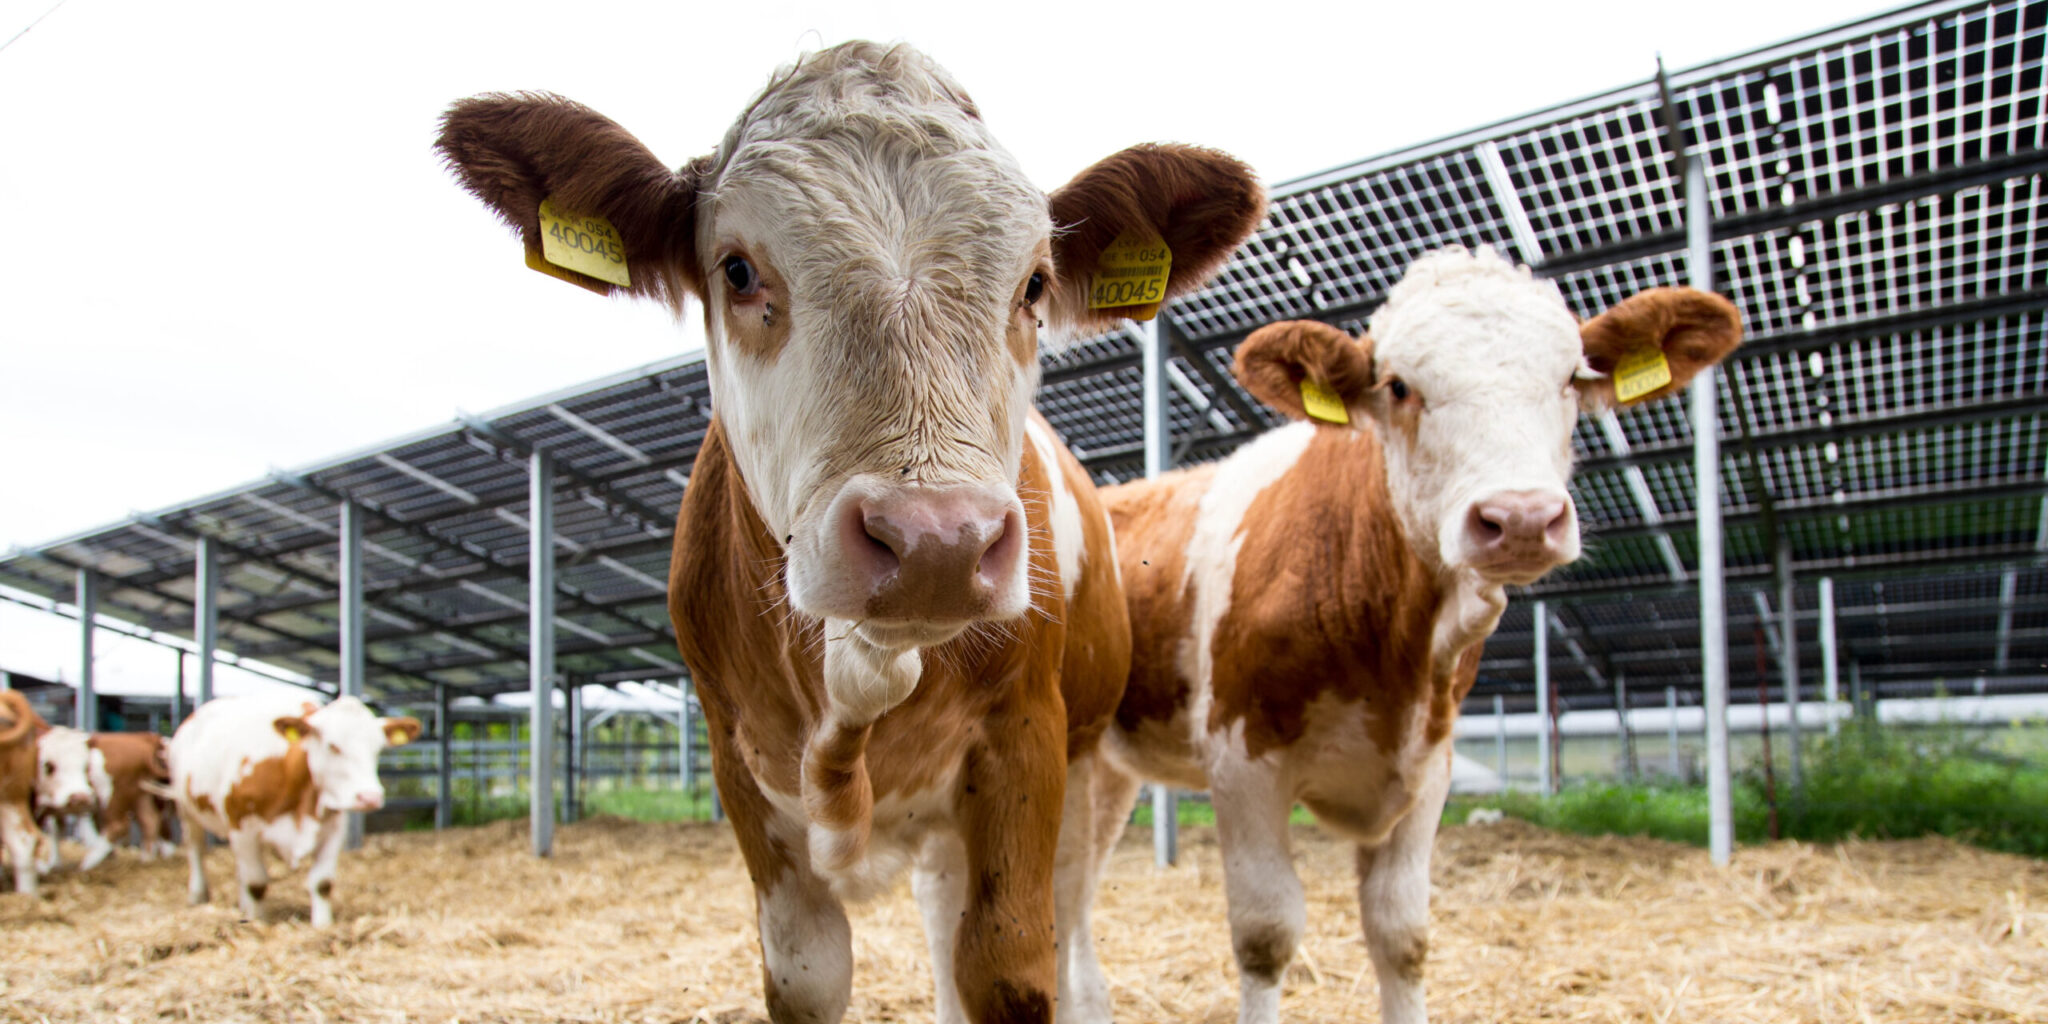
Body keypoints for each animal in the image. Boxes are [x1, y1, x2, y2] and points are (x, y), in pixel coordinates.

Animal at [156, 696, 423, 929]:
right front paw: (258, 923)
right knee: (196, 849)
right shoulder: (243, 826)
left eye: (378, 750)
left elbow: (322, 882)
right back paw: (198, 895)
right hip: (187, 809)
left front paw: (322, 925)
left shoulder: (334, 826)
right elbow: (257, 883)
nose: (370, 797)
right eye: (332, 746)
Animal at [438, 39, 1253, 1024]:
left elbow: (1012, 970)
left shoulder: (1027, 737)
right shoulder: (740, 764)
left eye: (1034, 284)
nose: (937, 541)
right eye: (738, 269)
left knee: (1068, 937)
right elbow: (811, 973)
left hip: (1092, 768)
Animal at [1097, 247, 1736, 1024]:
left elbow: (1402, 933)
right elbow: (1266, 933)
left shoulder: (1431, 766)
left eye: (1571, 379)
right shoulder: (1241, 757)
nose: (1521, 517)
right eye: (1399, 386)